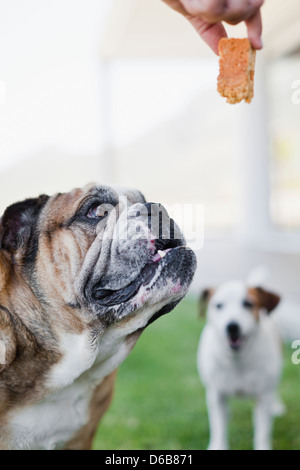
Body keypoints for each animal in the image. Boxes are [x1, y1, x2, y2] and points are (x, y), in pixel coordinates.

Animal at [198, 280, 284, 450]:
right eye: (219, 305)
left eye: (248, 304)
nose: (232, 326)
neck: (237, 361)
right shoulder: (216, 395)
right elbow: (218, 427)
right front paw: (218, 446)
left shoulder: (263, 397)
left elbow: (263, 431)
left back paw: (275, 406)